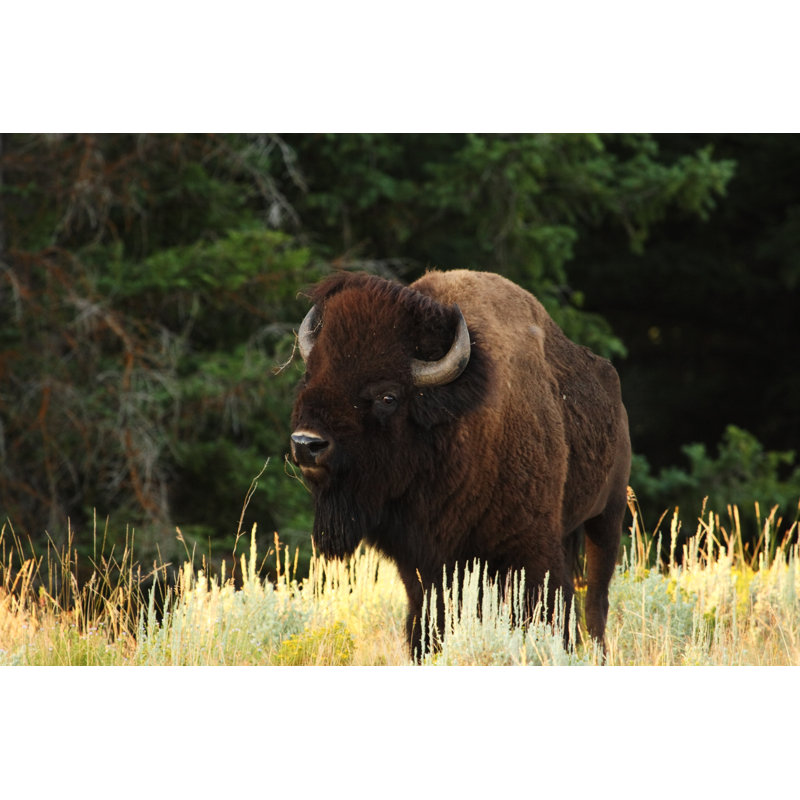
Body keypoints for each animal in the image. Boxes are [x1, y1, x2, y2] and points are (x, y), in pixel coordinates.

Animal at [290, 269, 631, 657]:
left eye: (387, 396)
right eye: (309, 378)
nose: (306, 444)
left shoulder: (530, 547)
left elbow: (547, 608)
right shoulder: (424, 561)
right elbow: (427, 616)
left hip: (607, 517)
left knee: (596, 600)